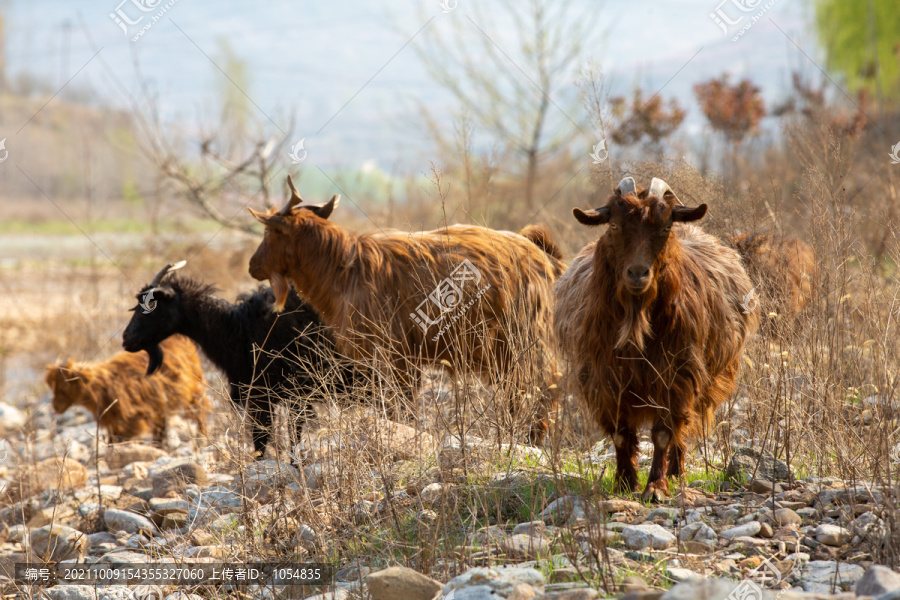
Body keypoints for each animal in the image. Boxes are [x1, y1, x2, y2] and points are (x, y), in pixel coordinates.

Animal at [47, 336, 207, 442]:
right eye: (52, 387)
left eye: (63, 386)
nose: (54, 406)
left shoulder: (134, 418)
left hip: (194, 389)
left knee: (199, 412)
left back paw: (202, 437)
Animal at [250, 176, 568, 438]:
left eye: (269, 233)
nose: (253, 265)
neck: (344, 269)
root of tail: (542, 255)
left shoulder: (392, 354)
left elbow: (399, 407)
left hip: (526, 343)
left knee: (542, 389)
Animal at [556, 176, 760, 500]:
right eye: (613, 225)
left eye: (665, 228)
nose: (638, 273)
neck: (636, 320)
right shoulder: (605, 378)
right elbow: (620, 433)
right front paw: (624, 482)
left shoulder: (676, 374)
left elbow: (664, 432)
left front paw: (656, 486)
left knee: (683, 427)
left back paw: (677, 473)